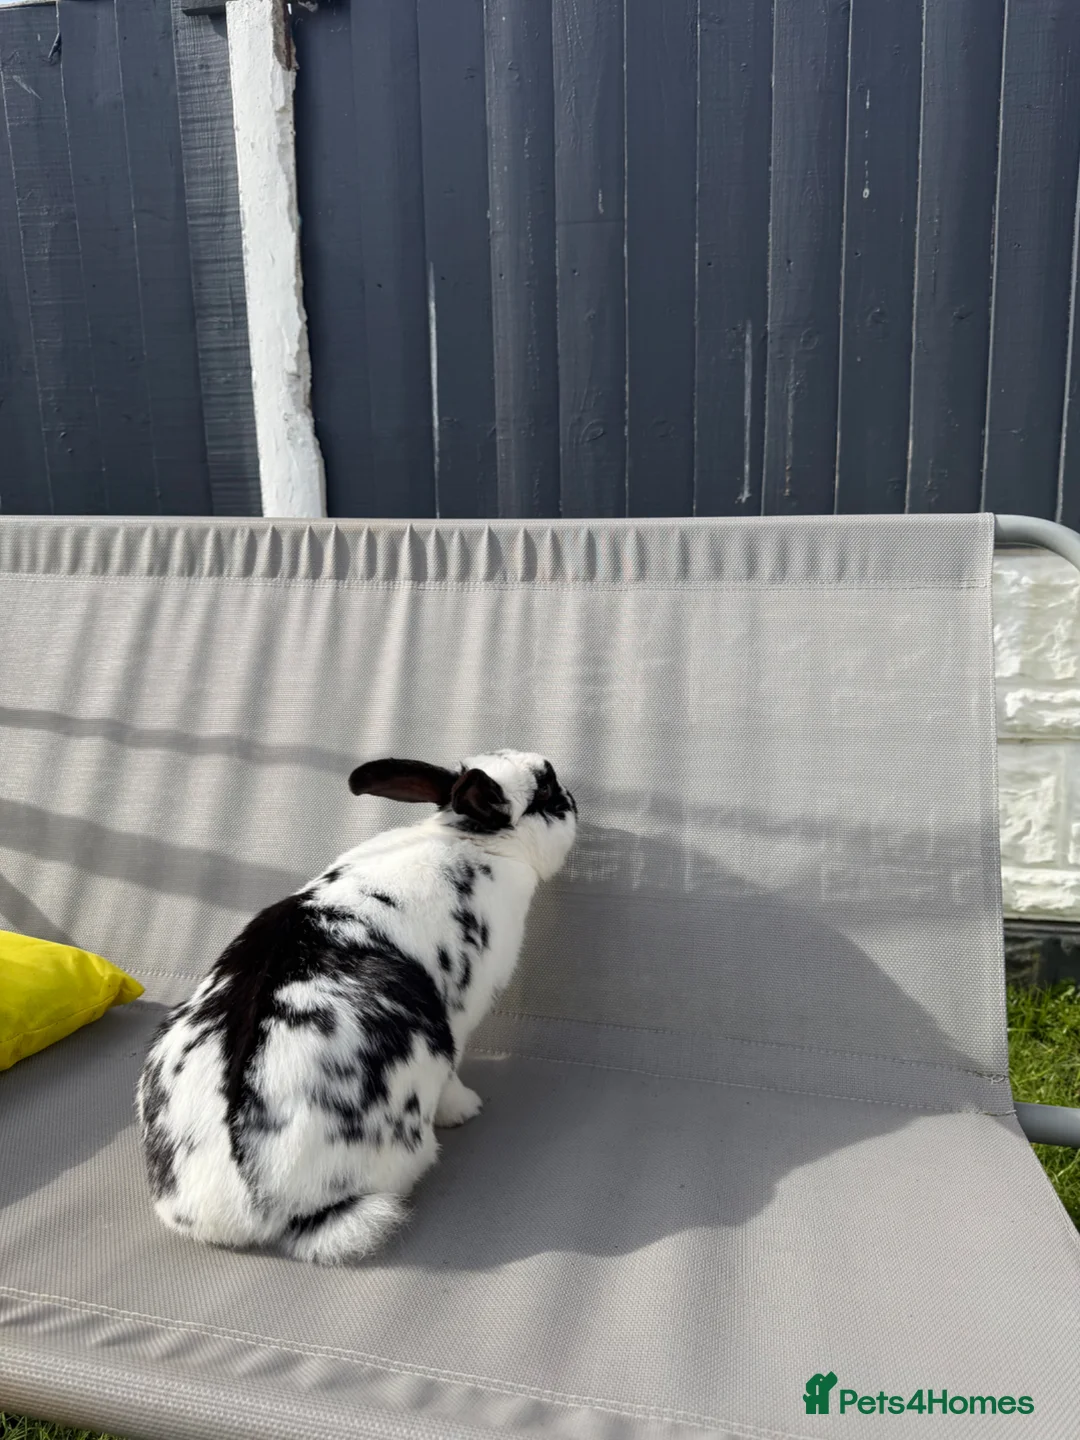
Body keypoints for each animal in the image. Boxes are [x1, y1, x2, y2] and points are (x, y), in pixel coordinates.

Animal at [135, 749, 577, 1265]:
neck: (473, 842)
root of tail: (251, 1208)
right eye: (546, 792)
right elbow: (454, 1078)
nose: (573, 798)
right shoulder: (461, 1019)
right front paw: (468, 1109)